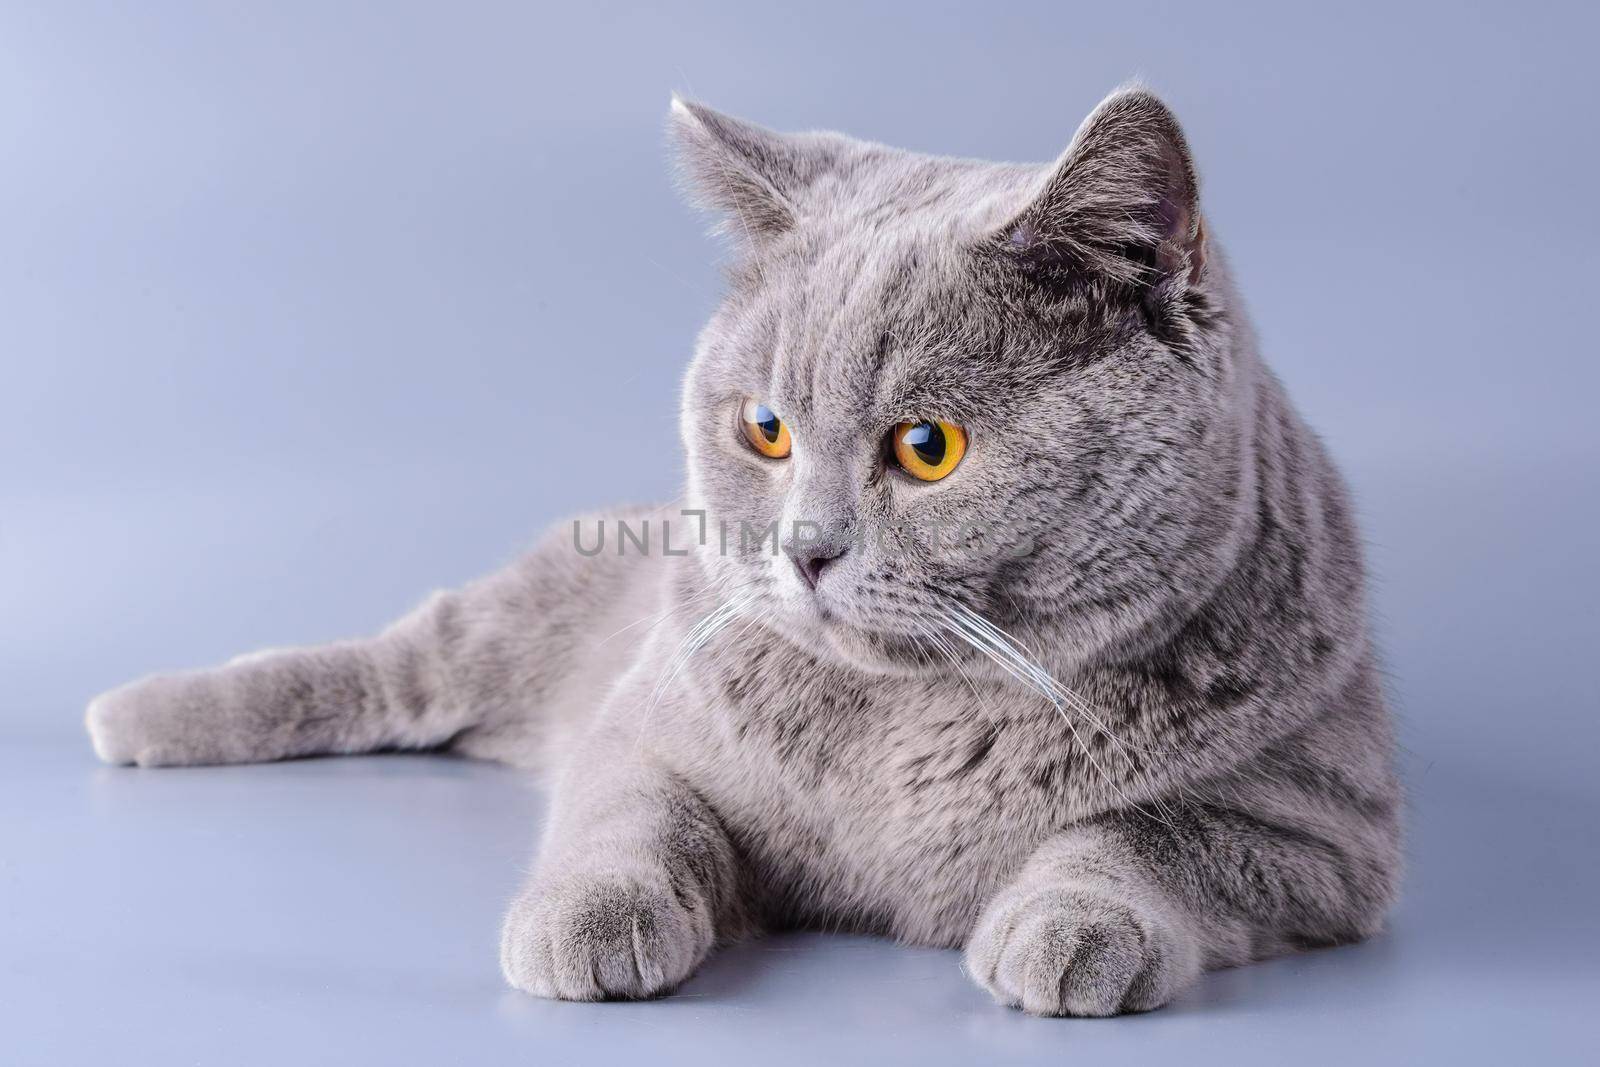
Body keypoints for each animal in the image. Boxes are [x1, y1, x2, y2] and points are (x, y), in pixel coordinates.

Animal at [84, 87, 1401, 1017]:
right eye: (765, 429)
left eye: (928, 447)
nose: (806, 548)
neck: (914, 721)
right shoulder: (648, 726)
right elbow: (633, 812)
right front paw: (589, 921)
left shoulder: (1329, 834)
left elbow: (1148, 834)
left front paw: (1070, 929)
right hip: (524, 619)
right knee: (403, 660)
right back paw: (136, 712)